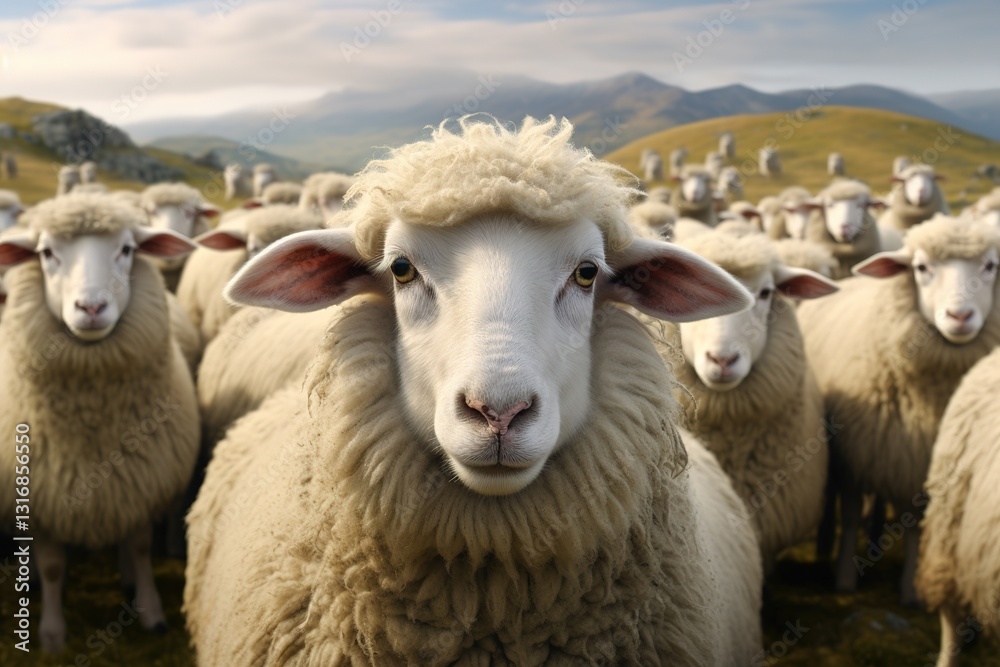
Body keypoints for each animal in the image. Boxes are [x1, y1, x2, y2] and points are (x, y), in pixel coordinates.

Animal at [0, 194, 201, 653]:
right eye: (45, 253)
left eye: (127, 249)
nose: (91, 307)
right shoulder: (44, 497)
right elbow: (53, 566)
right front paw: (52, 635)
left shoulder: (141, 483)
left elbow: (141, 549)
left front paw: (150, 612)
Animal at [798, 214, 1000, 605]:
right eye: (921, 268)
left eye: (990, 266)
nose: (960, 315)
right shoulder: (855, 449)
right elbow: (849, 508)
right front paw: (845, 577)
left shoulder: (918, 458)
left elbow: (915, 523)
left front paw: (909, 589)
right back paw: (826, 542)